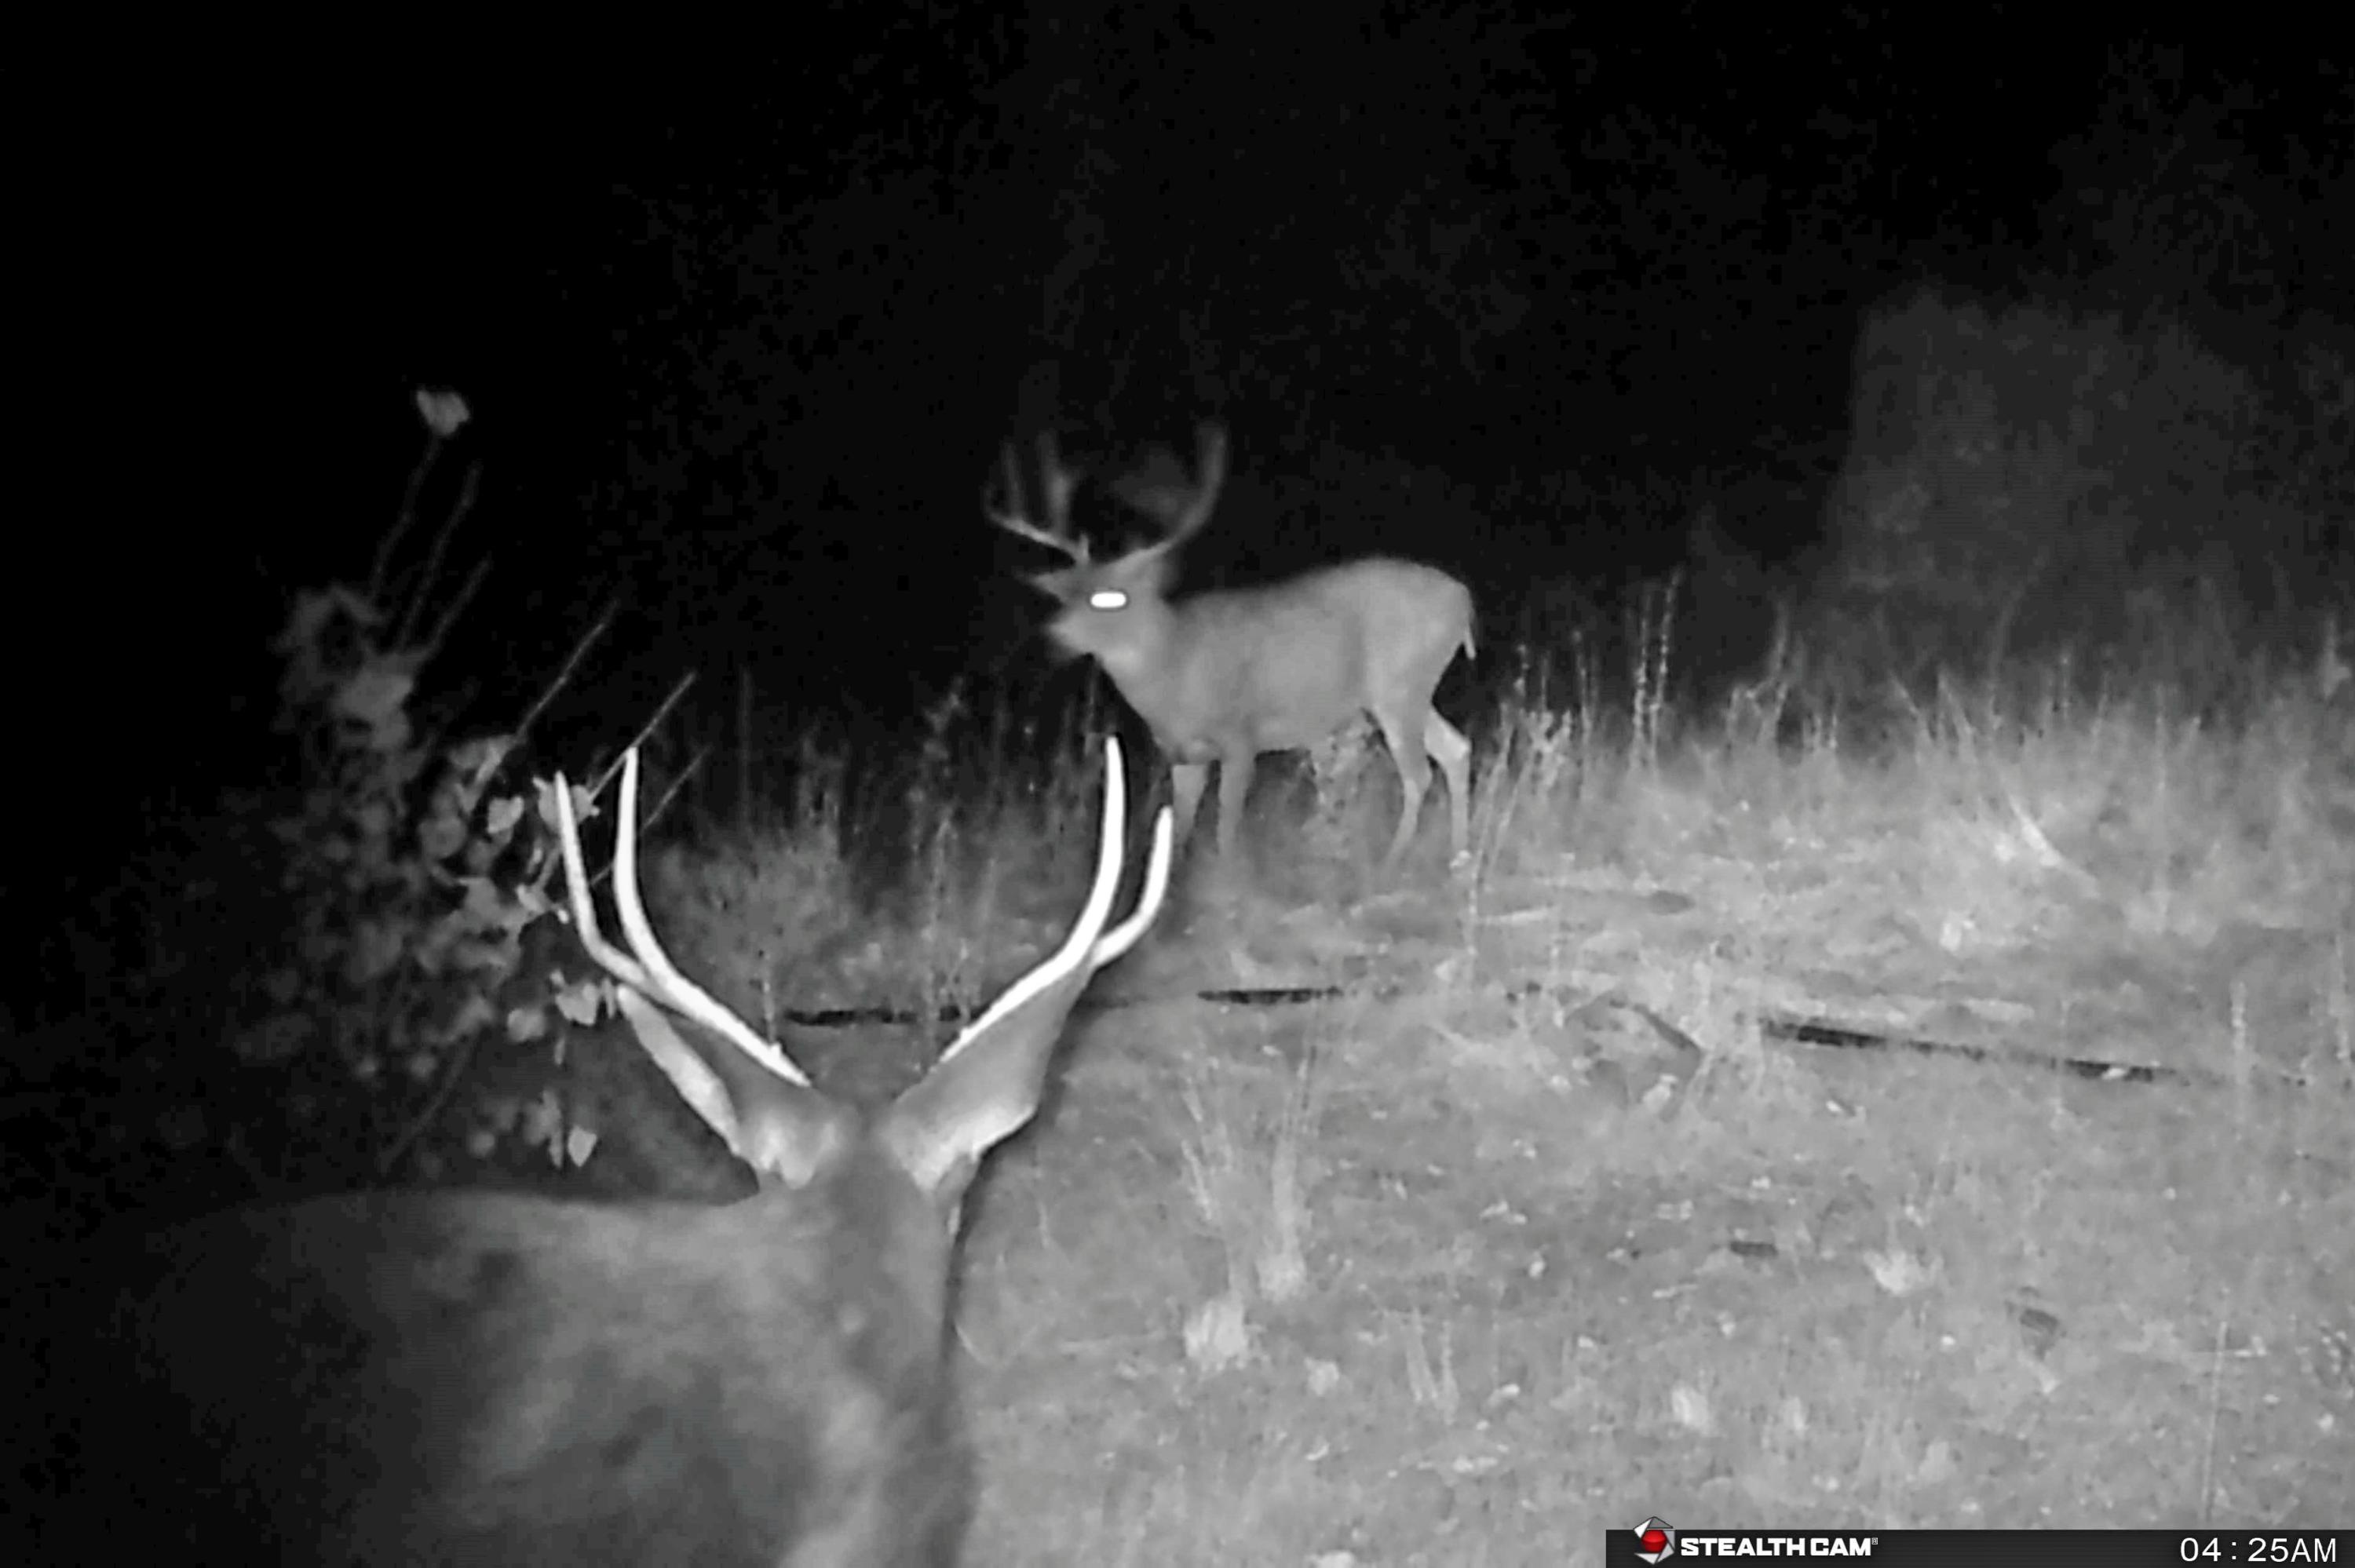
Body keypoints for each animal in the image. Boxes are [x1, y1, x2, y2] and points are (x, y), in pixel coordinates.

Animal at [989, 420, 1475, 873]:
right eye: (1066, 596)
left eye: (1113, 597)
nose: (1052, 635)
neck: (1176, 667)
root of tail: (1464, 599)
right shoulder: (1181, 755)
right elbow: (1180, 831)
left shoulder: (1241, 736)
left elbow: (1226, 830)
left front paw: (1230, 885)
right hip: (1408, 692)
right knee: (1456, 748)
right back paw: (1458, 857)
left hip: (1398, 685)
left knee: (1418, 772)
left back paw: (1391, 864)